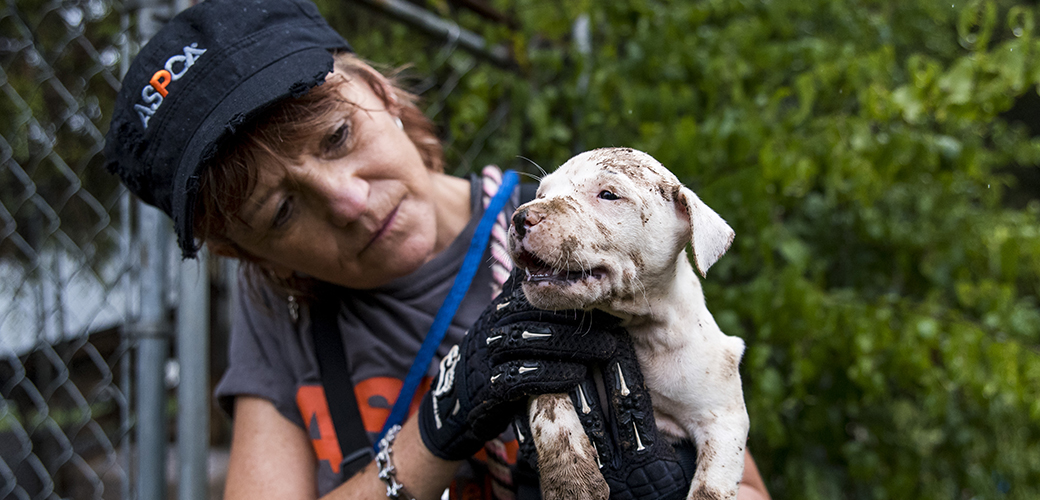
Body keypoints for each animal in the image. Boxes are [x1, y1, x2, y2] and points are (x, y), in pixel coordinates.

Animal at [505, 147, 744, 498]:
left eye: (608, 195)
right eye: (541, 195)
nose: (520, 218)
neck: (636, 326)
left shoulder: (724, 419)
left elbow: (710, 487)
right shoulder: (543, 359)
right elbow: (551, 411)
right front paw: (572, 482)